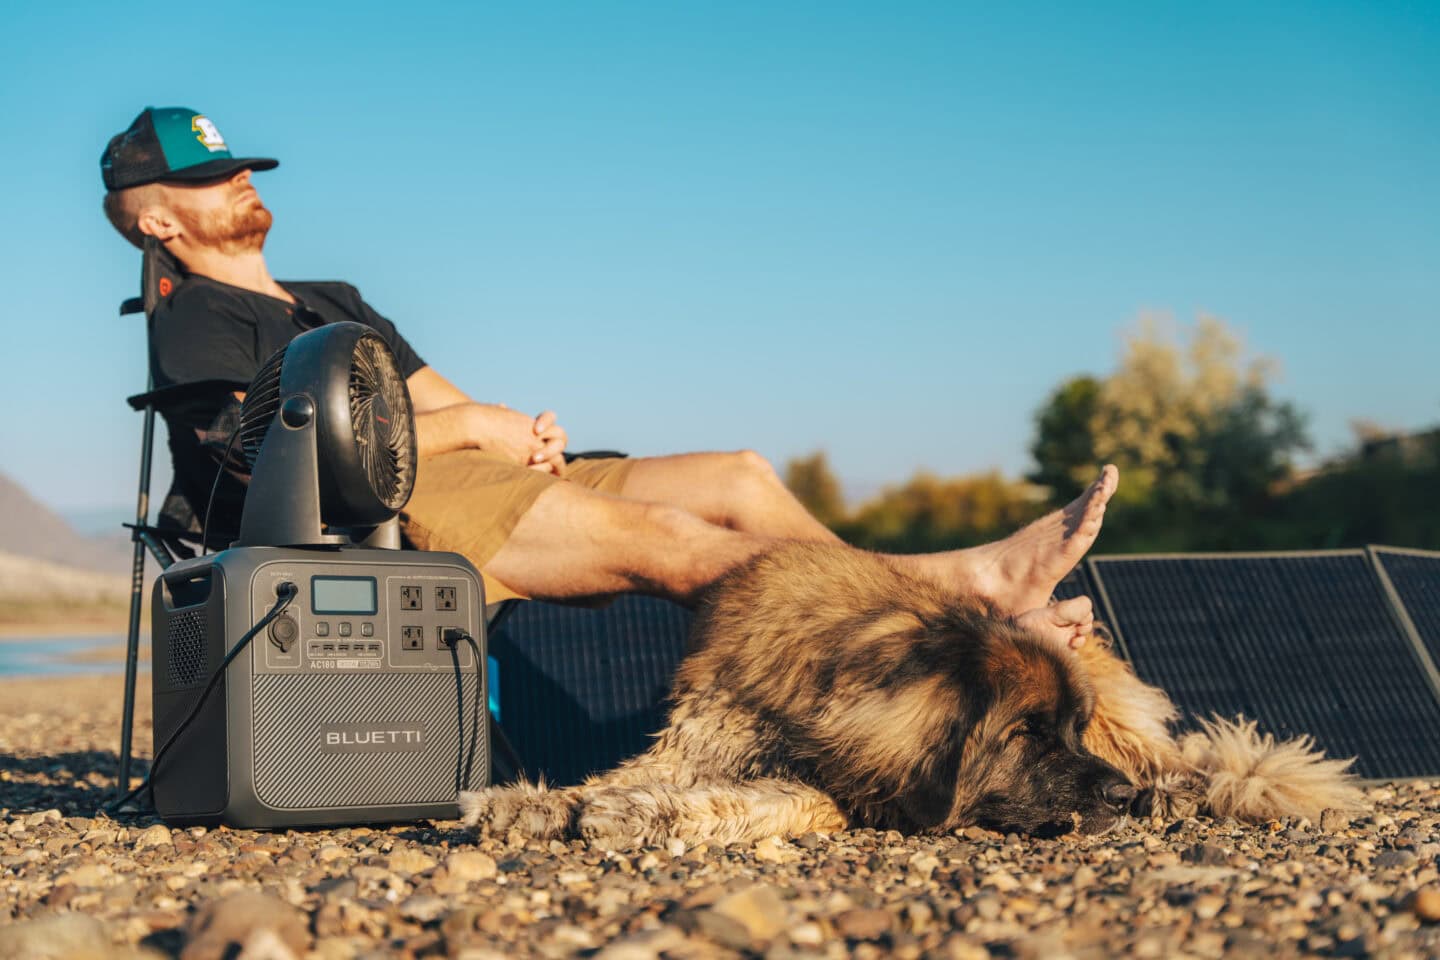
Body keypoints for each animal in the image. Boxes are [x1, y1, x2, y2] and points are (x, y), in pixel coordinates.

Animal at [460, 541, 1359, 846]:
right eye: (1029, 735)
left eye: (1062, 732)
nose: (1114, 797)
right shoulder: (702, 734)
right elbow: (608, 779)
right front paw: (530, 802)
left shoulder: (839, 790)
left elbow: (750, 800)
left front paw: (641, 816)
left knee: (1184, 764)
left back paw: (1171, 789)